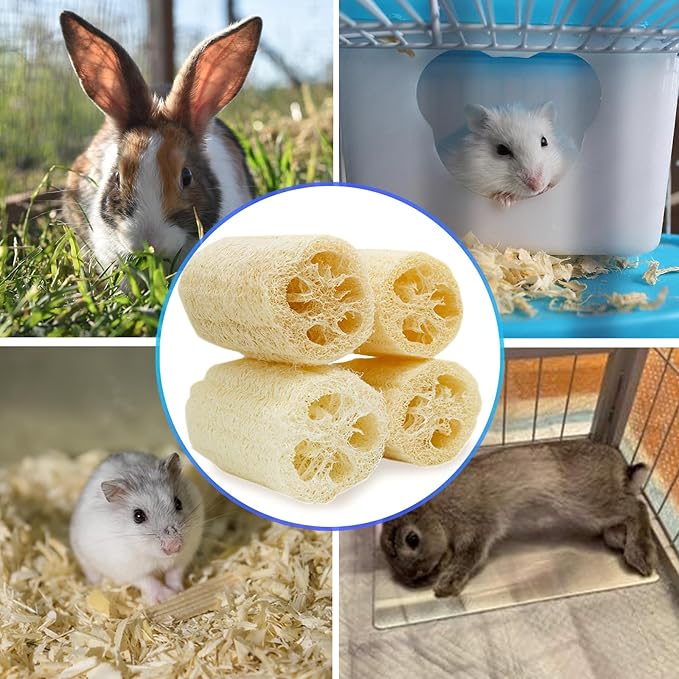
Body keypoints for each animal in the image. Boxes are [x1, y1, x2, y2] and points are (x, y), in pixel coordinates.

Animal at [70, 452, 204, 604]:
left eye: (178, 503)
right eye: (138, 516)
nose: (174, 547)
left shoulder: (184, 556)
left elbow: (175, 572)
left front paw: (178, 590)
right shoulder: (128, 569)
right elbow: (149, 581)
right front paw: (167, 596)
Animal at [381, 440, 657, 598]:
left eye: (412, 539)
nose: (412, 578)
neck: (437, 512)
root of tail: (620, 467)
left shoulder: (477, 526)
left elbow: (469, 557)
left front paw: (446, 585)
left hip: (589, 502)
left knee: (636, 507)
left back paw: (640, 554)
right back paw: (619, 539)